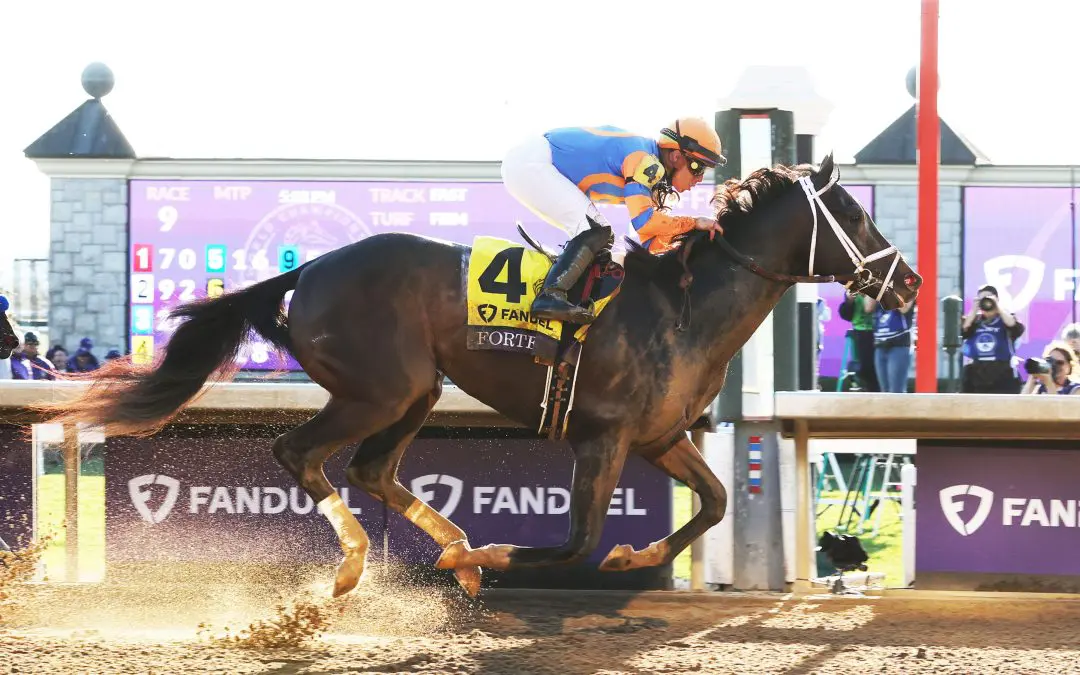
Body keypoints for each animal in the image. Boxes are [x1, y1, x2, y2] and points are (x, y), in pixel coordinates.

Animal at [37, 153, 921, 598]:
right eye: (853, 213)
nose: (908, 283)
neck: (684, 305)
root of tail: (312, 266)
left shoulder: (660, 435)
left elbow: (712, 502)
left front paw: (631, 560)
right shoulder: (601, 436)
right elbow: (574, 541)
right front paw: (500, 554)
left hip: (416, 390)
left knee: (371, 468)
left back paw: (450, 548)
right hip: (377, 388)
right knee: (303, 454)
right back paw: (364, 562)